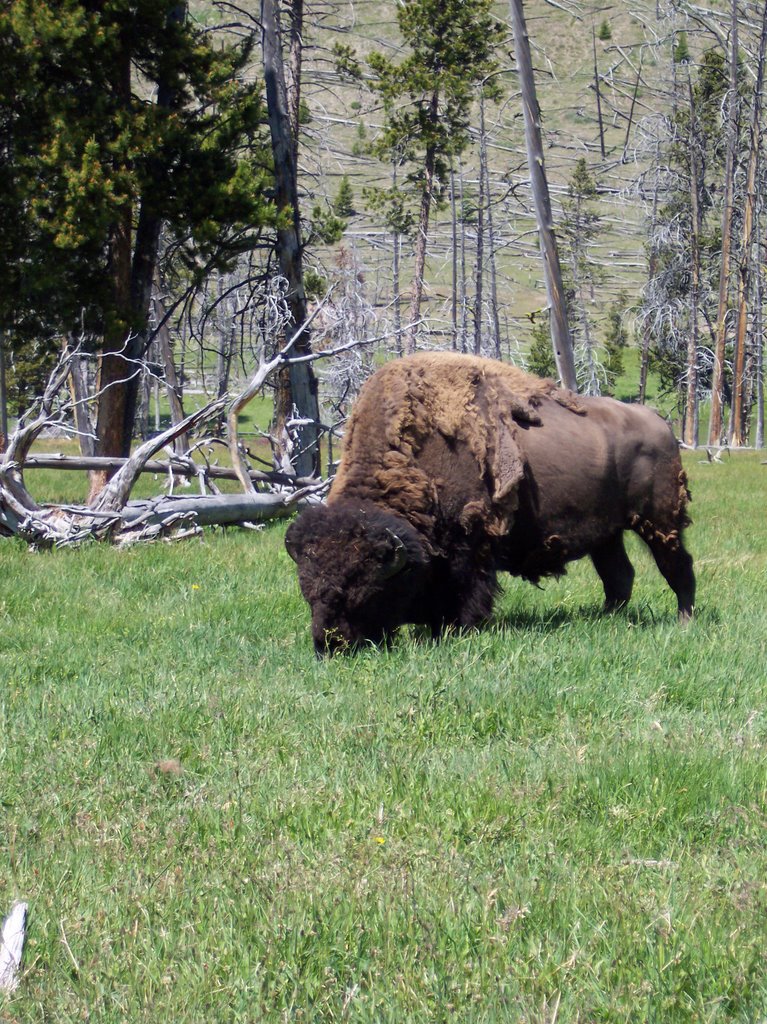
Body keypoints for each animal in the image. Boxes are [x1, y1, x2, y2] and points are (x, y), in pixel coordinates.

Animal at [286, 354, 692, 655]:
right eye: (306, 587)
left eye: (365, 587)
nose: (330, 644)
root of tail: (661, 425)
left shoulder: (472, 542)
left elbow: (468, 590)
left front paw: (457, 629)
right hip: (608, 534)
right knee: (619, 575)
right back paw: (607, 618)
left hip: (660, 522)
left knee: (677, 565)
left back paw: (684, 619)